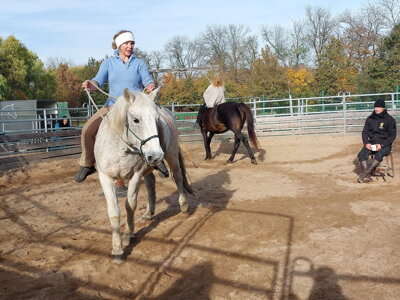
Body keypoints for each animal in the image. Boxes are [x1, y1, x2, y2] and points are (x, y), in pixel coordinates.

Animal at [94, 86, 193, 262]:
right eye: (136, 120)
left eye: (156, 119)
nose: (156, 156)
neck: (122, 149)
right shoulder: (105, 177)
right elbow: (114, 212)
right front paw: (117, 250)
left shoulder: (136, 175)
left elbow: (130, 205)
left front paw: (128, 234)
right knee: (151, 183)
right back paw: (148, 213)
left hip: (172, 156)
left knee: (178, 177)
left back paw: (184, 205)